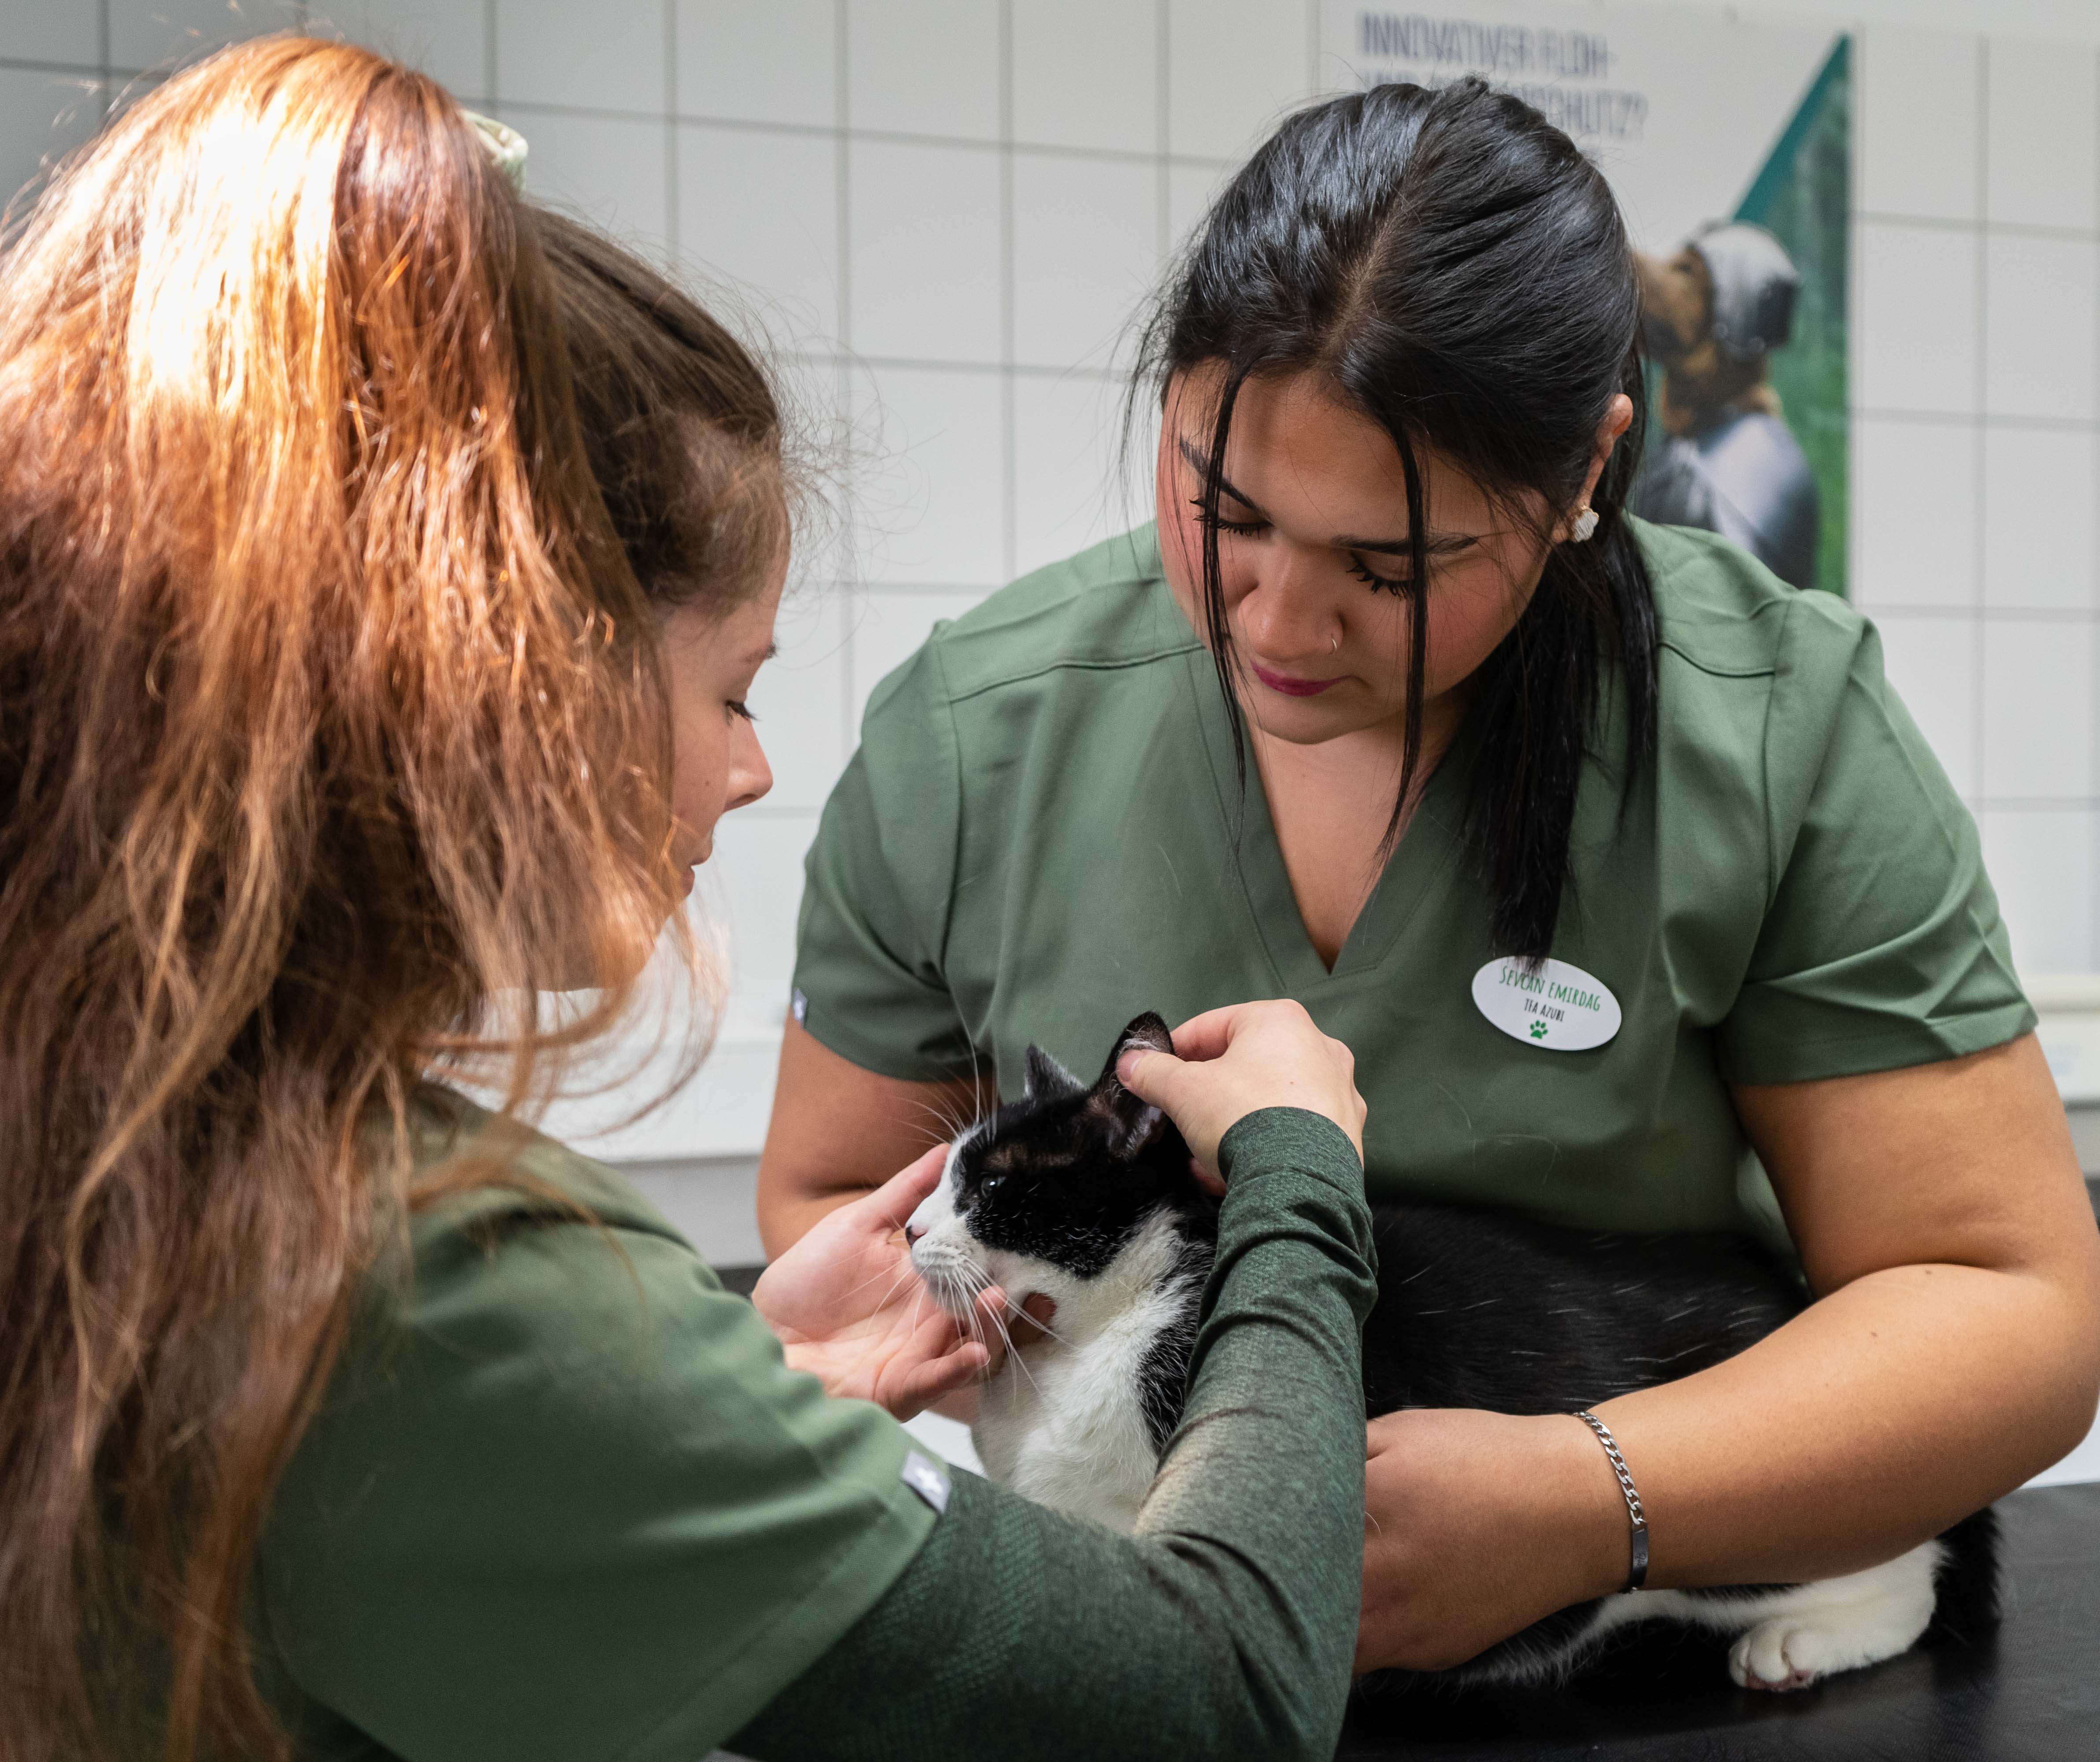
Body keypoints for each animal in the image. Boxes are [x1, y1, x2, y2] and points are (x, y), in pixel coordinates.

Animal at [905, 1011, 1999, 1695]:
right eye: (947, 1178)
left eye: (990, 1189)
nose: (910, 1229)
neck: (1089, 1336)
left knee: (1904, 1561)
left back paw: (1798, 1642)